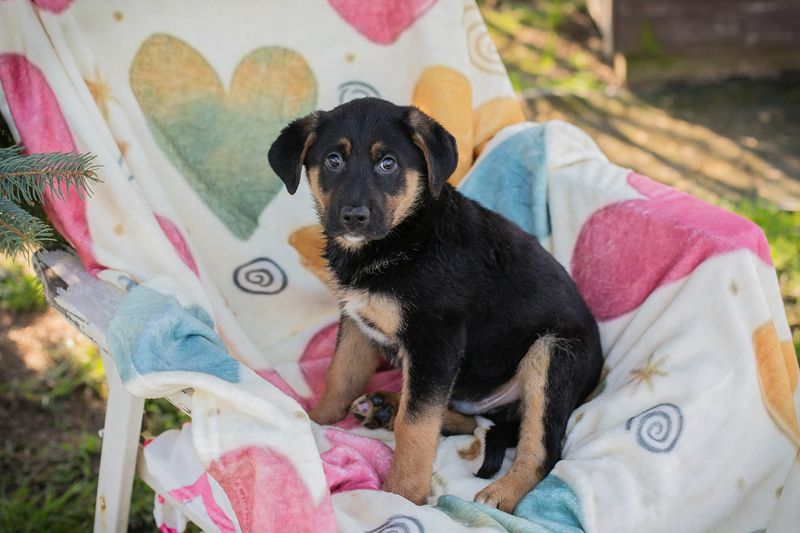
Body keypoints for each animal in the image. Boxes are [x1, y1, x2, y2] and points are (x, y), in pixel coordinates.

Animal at [268, 97, 602, 512]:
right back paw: (385, 405)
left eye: (388, 163)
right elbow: (341, 376)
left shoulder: (435, 342)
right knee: (470, 421)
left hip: (553, 354)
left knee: (543, 448)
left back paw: (501, 494)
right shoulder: (356, 322)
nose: (354, 217)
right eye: (333, 160)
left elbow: (415, 425)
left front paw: (401, 494)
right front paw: (318, 422)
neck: (402, 238)